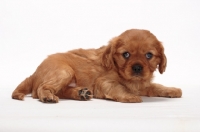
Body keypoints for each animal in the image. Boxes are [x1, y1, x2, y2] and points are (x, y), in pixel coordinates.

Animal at [11, 29, 182, 103]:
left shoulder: (143, 84)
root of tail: (34, 73)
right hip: (64, 71)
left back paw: (81, 93)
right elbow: (119, 88)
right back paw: (48, 96)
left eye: (149, 55)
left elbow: (156, 86)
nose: (137, 68)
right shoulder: (104, 83)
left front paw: (173, 90)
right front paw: (129, 96)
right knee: (42, 89)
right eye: (126, 54)